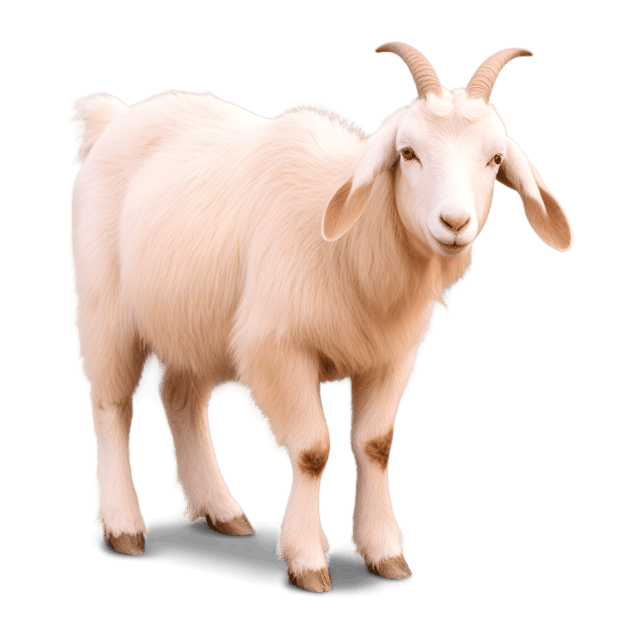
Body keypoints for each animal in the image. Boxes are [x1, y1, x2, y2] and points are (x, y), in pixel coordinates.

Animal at [69, 42, 573, 593]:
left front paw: (384, 553)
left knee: (182, 400)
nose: (455, 223)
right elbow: (312, 451)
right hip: (105, 311)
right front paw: (308, 561)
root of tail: (115, 118)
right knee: (111, 405)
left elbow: (375, 445)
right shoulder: (279, 349)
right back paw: (124, 526)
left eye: (495, 158)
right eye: (408, 153)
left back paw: (223, 512)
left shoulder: (391, 357)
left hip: (193, 324)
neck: (350, 248)